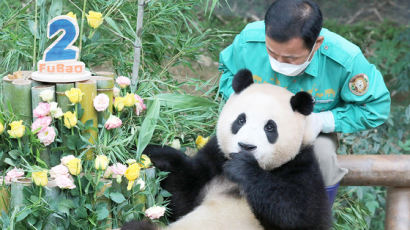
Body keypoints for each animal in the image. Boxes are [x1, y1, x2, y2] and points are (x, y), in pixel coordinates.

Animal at [123, 68, 332, 230]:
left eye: (270, 128)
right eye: (241, 120)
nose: (246, 146)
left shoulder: (300, 166)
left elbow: (301, 215)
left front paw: (244, 168)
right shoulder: (215, 159)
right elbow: (184, 192)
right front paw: (148, 152)